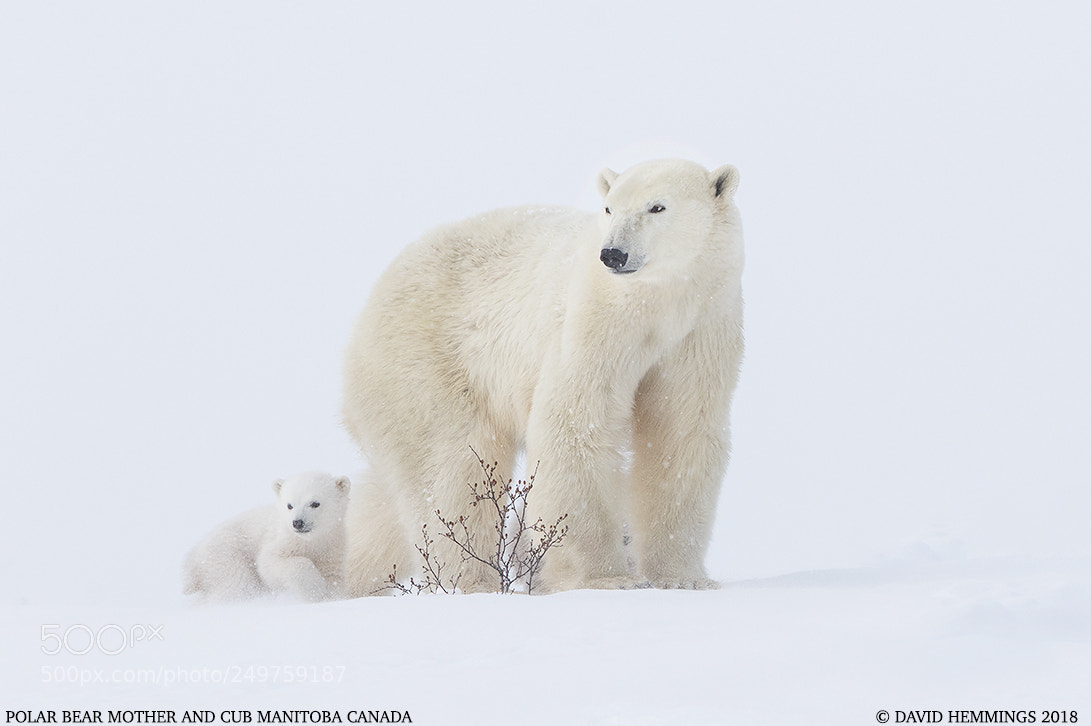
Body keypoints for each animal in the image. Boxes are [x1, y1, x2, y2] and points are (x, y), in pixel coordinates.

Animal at [183, 471, 351, 601]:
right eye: (289, 505)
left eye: (315, 503)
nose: (297, 522)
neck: (312, 541)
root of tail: (193, 555)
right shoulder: (280, 541)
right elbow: (269, 563)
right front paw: (314, 589)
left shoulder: (332, 549)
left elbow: (333, 578)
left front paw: (328, 595)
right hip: (226, 554)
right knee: (238, 583)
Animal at [342, 159, 744, 595]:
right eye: (609, 208)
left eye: (657, 207)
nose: (613, 254)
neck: (660, 304)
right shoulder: (594, 324)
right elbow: (576, 421)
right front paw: (606, 577)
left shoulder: (702, 330)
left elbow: (679, 434)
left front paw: (682, 578)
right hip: (427, 360)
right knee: (451, 466)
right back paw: (472, 580)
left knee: (388, 494)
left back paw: (353, 578)